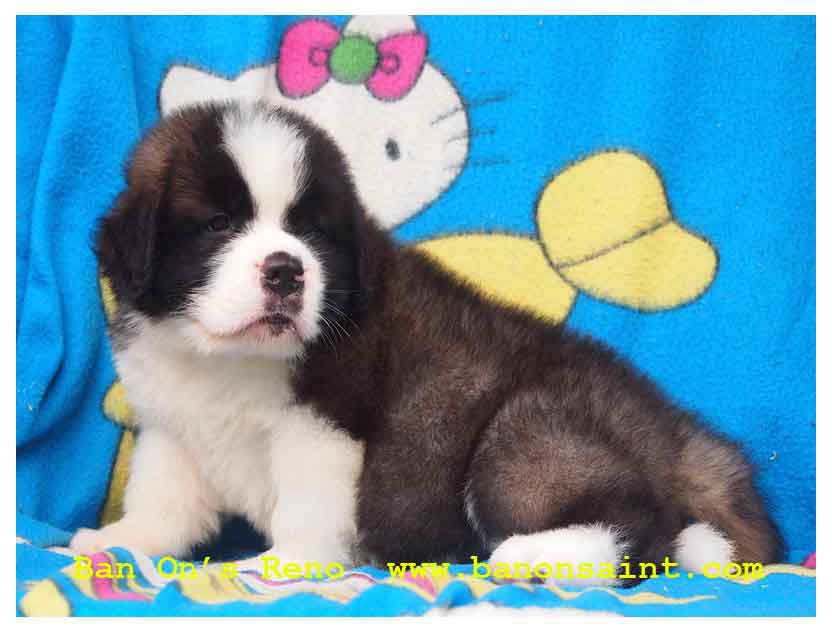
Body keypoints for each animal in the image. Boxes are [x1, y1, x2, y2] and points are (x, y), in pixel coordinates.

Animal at [73, 101, 782, 586]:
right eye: (219, 224)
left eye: (314, 233)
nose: (286, 271)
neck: (227, 358)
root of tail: (672, 431)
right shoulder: (174, 426)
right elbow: (163, 498)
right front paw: (121, 542)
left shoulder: (325, 422)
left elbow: (307, 502)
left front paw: (286, 564)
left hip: (526, 436)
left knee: (646, 523)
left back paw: (532, 555)